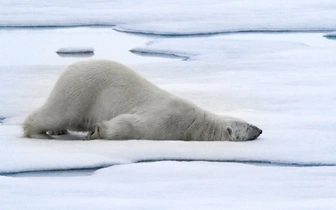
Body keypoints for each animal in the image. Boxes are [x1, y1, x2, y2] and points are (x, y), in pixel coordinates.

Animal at [23, 59, 262, 141]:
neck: (197, 125)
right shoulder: (167, 119)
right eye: (247, 126)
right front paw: (98, 131)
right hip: (81, 91)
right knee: (57, 113)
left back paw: (59, 131)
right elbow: (130, 124)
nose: (260, 129)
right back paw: (38, 132)